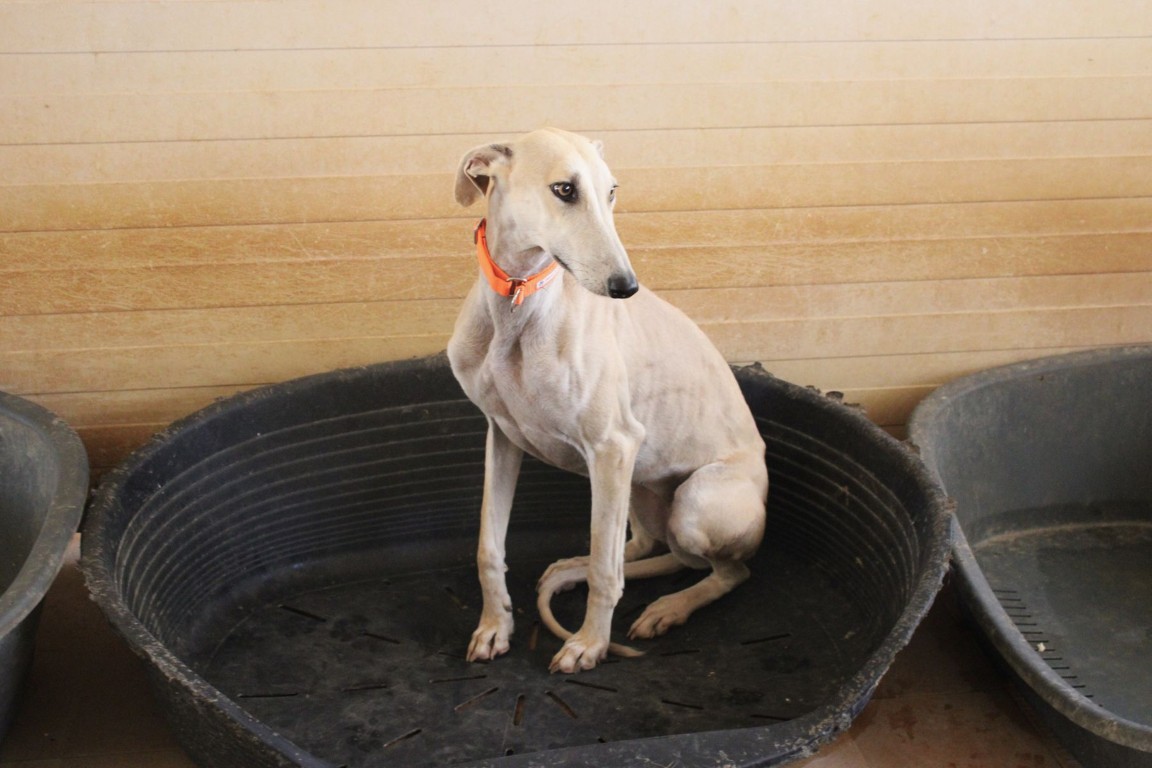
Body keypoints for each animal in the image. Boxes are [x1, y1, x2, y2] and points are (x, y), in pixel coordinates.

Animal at [447, 128, 768, 674]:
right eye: (564, 189)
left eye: (612, 191)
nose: (626, 287)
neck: (519, 299)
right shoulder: (501, 436)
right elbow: (489, 548)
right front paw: (494, 627)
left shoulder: (613, 445)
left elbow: (605, 571)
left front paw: (589, 645)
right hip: (638, 486)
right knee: (647, 547)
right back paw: (573, 568)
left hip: (693, 500)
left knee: (726, 571)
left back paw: (668, 607)